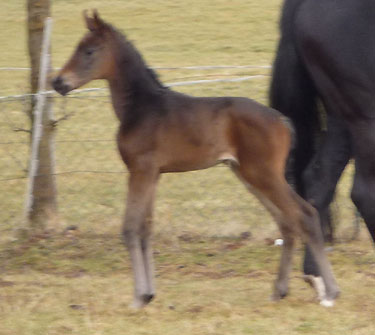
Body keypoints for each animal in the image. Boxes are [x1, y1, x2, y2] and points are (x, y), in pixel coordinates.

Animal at [51, 11, 340, 310]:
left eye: (89, 51)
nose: (58, 83)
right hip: (250, 176)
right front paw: (149, 294)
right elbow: (146, 229)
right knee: (287, 223)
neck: (141, 107)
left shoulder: (139, 170)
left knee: (305, 215)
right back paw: (279, 290)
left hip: (264, 174)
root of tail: (283, 120)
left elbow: (130, 228)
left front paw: (137, 298)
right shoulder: (154, 174)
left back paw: (329, 292)